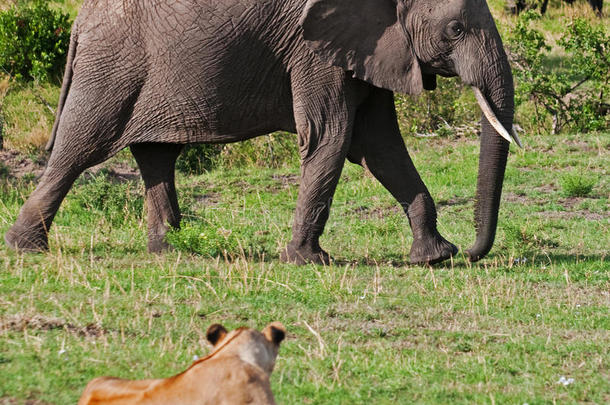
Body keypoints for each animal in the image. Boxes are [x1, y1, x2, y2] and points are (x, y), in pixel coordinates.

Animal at [3, 0, 516, 264]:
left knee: (156, 153)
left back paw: (169, 252)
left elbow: (382, 146)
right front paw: (308, 261)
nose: (472, 253)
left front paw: (433, 257)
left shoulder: (371, 47)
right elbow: (331, 137)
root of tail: (77, 21)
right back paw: (26, 248)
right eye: (455, 29)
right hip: (111, 67)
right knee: (79, 148)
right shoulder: (315, 50)